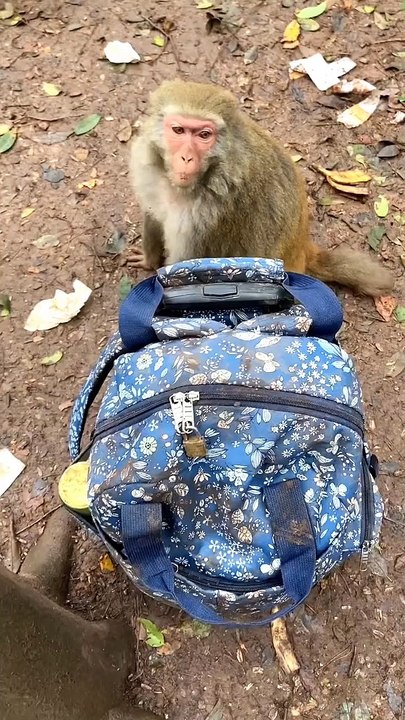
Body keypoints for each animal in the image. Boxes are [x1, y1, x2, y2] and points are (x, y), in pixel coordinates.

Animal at [127, 79, 394, 298]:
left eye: (204, 135)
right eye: (178, 130)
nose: (186, 158)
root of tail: (303, 248)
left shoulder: (211, 215)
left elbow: (186, 267)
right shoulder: (150, 173)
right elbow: (154, 216)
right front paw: (149, 260)